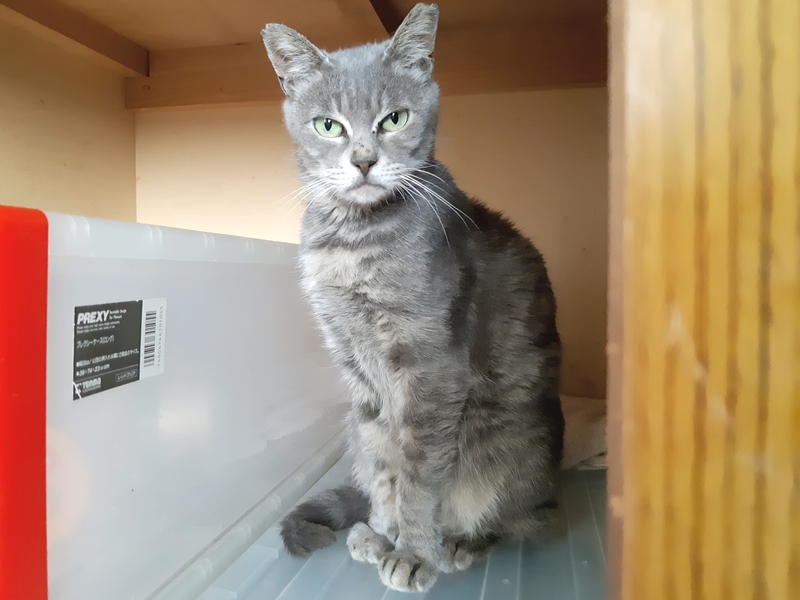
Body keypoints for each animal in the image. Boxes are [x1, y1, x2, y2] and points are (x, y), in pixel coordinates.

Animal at [261, 3, 564, 593]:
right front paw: (385, 531)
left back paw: (460, 543)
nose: (363, 160)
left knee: (517, 521)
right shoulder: (358, 367)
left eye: (395, 119)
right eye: (328, 125)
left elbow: (421, 474)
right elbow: (385, 460)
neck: (352, 242)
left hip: (509, 450)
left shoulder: (430, 365)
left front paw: (415, 552)